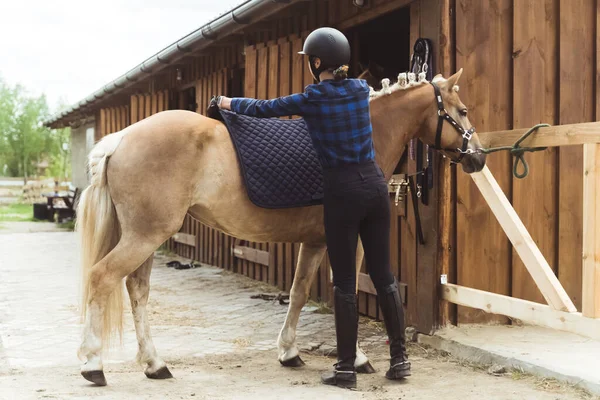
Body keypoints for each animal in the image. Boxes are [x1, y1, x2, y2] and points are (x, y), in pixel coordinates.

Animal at [76, 68, 488, 384]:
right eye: (463, 111)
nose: (479, 157)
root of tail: (121, 138)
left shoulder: (316, 241)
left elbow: (299, 291)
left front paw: (289, 352)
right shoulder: (350, 240)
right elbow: (348, 291)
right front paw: (355, 359)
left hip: (147, 237)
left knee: (137, 289)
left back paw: (154, 364)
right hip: (145, 237)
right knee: (102, 278)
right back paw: (93, 364)